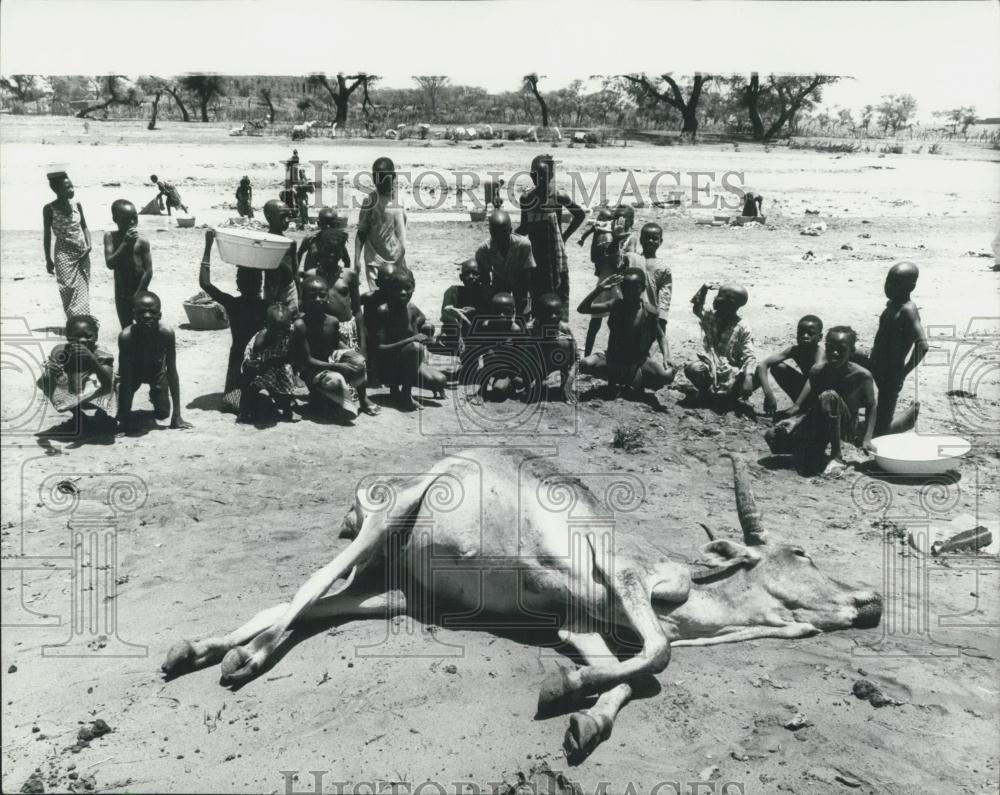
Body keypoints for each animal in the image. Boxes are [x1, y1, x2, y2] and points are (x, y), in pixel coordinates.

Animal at [162, 450, 884, 760]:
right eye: (801, 552)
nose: (871, 599)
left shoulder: (579, 623)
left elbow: (629, 671)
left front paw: (581, 715)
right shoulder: (623, 574)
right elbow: (659, 654)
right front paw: (560, 690)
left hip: (397, 592)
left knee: (302, 605)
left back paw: (192, 649)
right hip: (390, 518)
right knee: (310, 586)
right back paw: (242, 659)